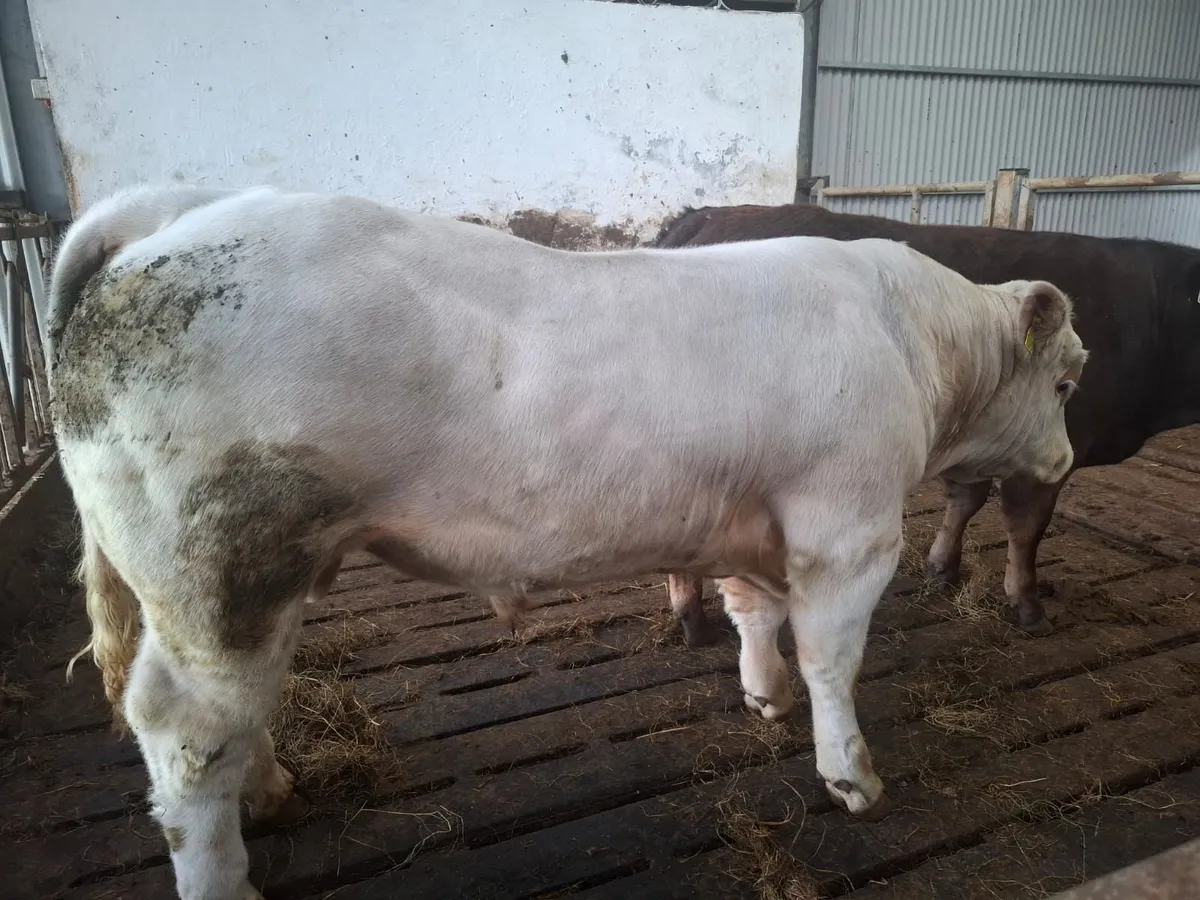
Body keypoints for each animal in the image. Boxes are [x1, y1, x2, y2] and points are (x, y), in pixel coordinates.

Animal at [48, 184, 1084, 900]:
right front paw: (850, 773)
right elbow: (834, 657)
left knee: (231, 716)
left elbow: (756, 612)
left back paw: (270, 787)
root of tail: (183, 212)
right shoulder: (848, 526)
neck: (910, 338)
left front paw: (764, 694)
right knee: (185, 731)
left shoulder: (759, 517)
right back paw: (222, 872)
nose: (1067, 457)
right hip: (217, 572)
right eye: (1068, 381)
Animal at [653, 202, 1200, 640]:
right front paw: (1027, 604)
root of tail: (703, 215)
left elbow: (966, 499)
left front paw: (943, 567)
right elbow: (1027, 528)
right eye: (1065, 383)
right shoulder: (1048, 451)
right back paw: (694, 621)